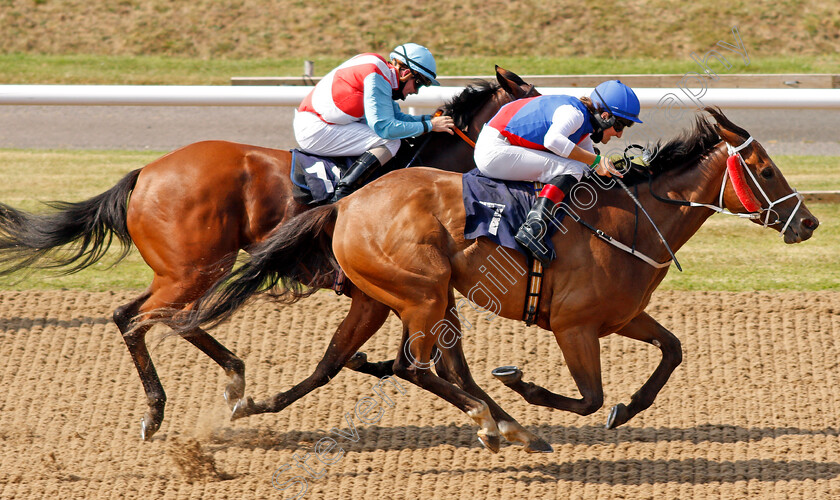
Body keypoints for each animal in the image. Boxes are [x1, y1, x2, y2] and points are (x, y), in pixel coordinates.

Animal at [179, 108, 820, 454]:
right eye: (766, 171)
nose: (809, 222)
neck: (635, 219)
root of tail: (348, 201)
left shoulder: (621, 317)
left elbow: (672, 351)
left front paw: (629, 409)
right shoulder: (573, 326)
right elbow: (588, 397)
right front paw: (523, 387)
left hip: (403, 298)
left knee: (353, 360)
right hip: (422, 292)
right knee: (417, 367)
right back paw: (503, 423)